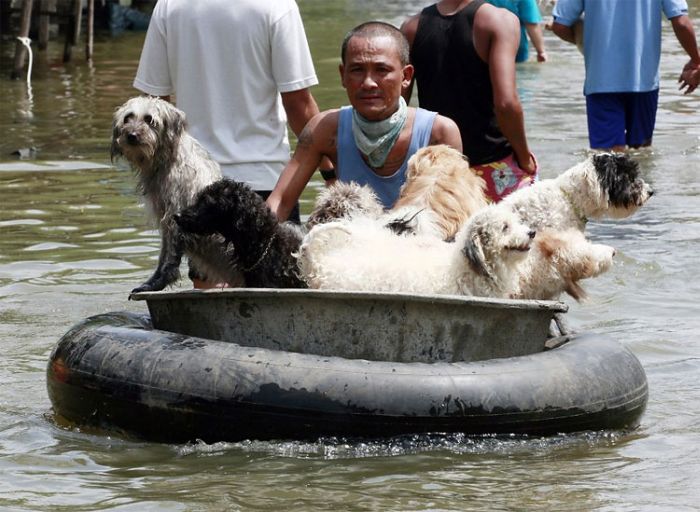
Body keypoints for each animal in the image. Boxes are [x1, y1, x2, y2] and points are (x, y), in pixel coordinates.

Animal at [110, 97, 238, 294]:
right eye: (128, 118)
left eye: (149, 119)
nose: (131, 135)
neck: (169, 159)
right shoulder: (166, 222)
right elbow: (163, 255)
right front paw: (152, 281)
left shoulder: (175, 217)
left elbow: (170, 257)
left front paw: (160, 281)